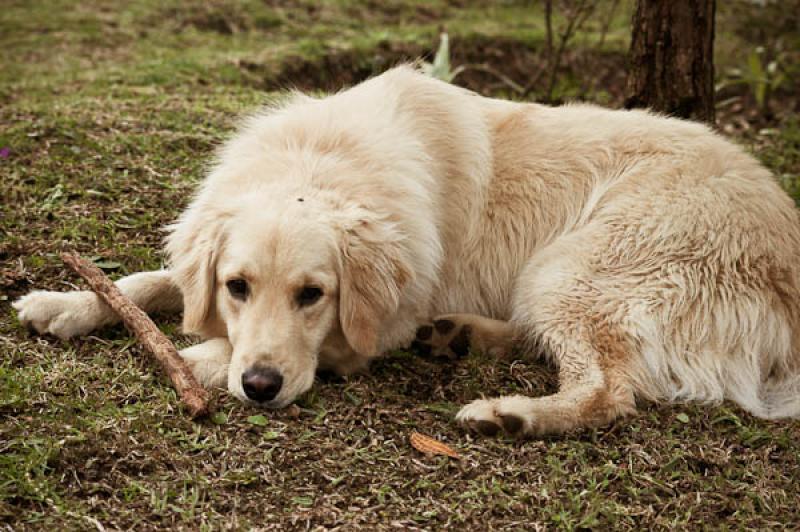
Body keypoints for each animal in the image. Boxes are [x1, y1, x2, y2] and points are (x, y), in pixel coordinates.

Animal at [10, 65, 800, 436]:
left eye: (313, 295)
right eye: (236, 286)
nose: (260, 387)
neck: (319, 164)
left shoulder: (370, 327)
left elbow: (246, 348)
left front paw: (200, 360)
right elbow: (148, 281)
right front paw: (68, 302)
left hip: (571, 268)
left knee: (611, 391)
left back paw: (512, 414)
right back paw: (458, 336)